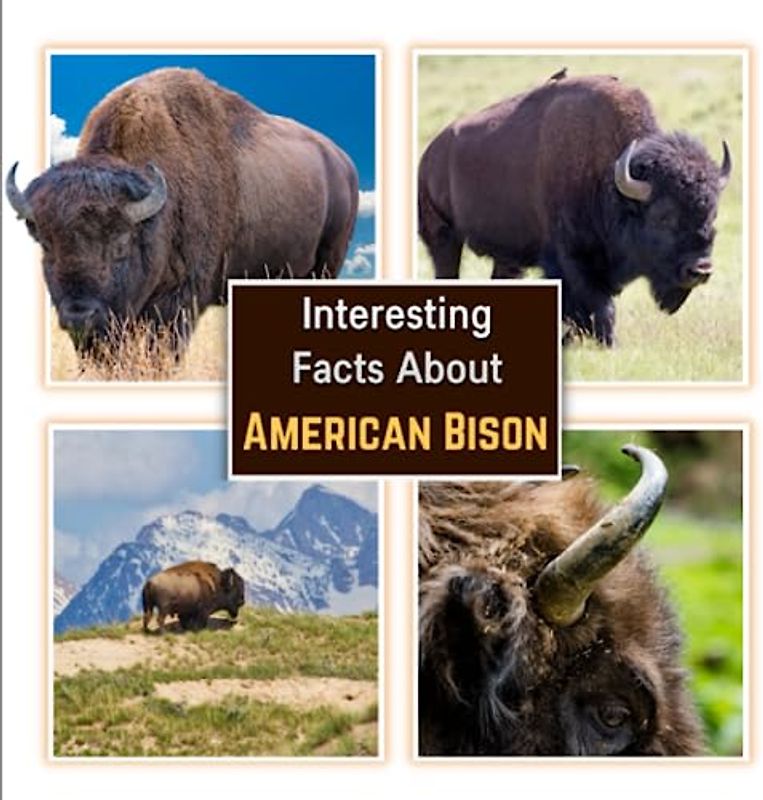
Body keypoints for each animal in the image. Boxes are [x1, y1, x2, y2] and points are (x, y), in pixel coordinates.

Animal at [7, 67, 359, 351]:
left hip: (327, 264)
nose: (79, 314)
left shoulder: (178, 301)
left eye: (121, 243)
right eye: (46, 244)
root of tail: (343, 162)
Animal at [418, 72, 732, 345]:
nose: (700, 269)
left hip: (507, 256)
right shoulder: (571, 262)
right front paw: (605, 343)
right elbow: (597, 308)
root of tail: (430, 154)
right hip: (444, 237)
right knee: (446, 271)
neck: (607, 177)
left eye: (713, 213)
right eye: (664, 217)